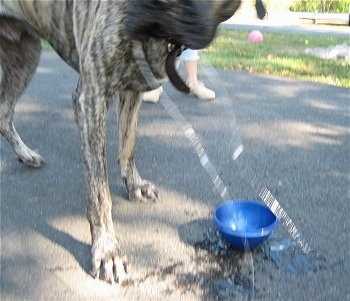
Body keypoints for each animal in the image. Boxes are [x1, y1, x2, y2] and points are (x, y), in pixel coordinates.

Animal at [0, 0, 243, 282]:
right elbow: (100, 193)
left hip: (25, 56)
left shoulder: (133, 89)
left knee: (4, 112)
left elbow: (128, 145)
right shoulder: (90, 98)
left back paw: (25, 153)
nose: (138, 14)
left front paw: (134, 184)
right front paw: (107, 249)